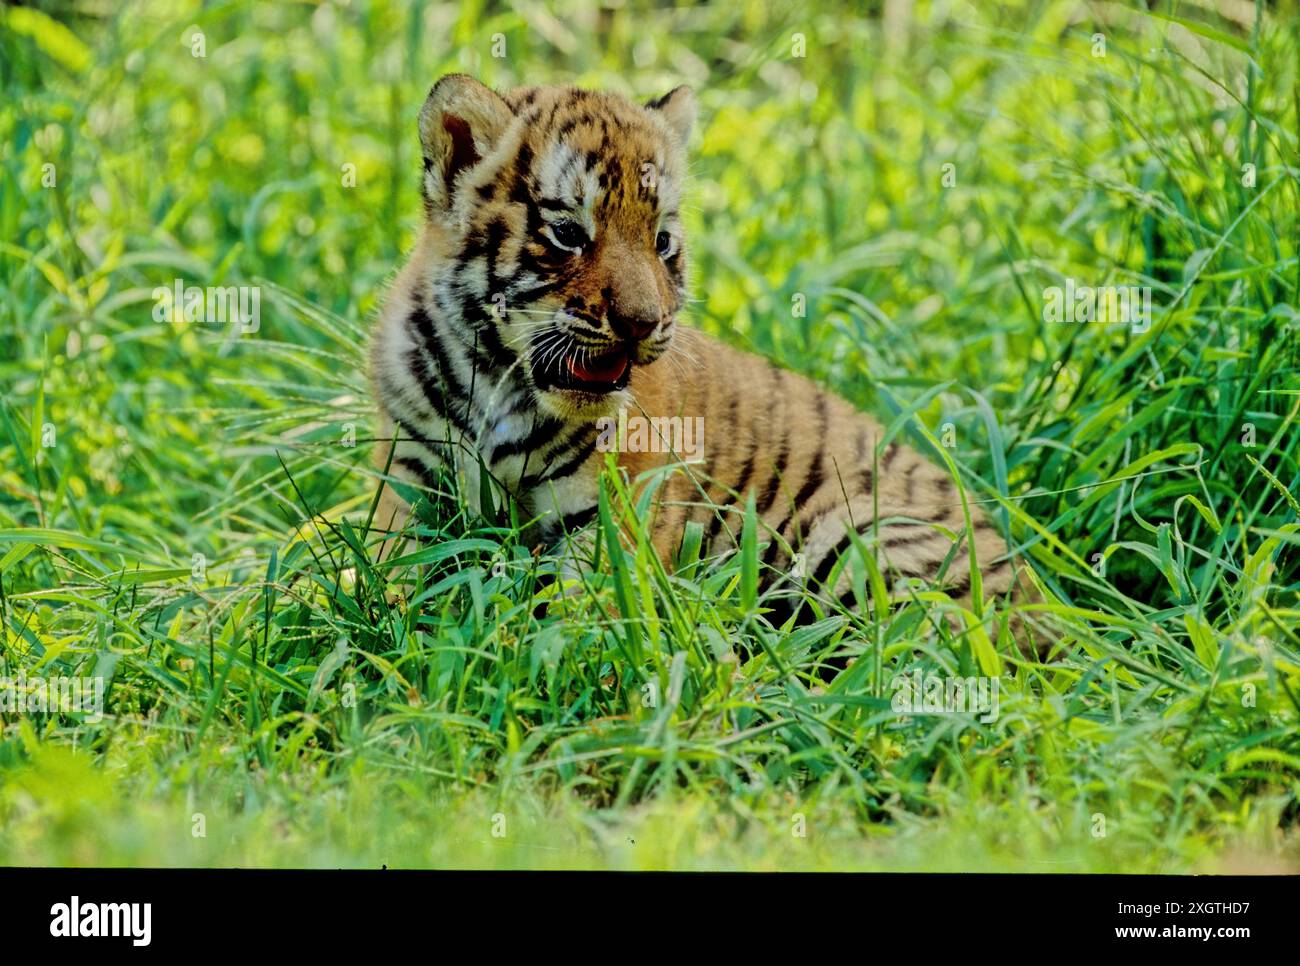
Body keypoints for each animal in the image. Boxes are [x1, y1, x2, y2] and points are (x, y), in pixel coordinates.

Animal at [368, 74, 1036, 642]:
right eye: (568, 234)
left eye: (662, 242)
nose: (642, 324)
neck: (496, 380)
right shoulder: (406, 476)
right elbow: (379, 570)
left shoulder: (610, 519)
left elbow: (579, 623)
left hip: (862, 535)